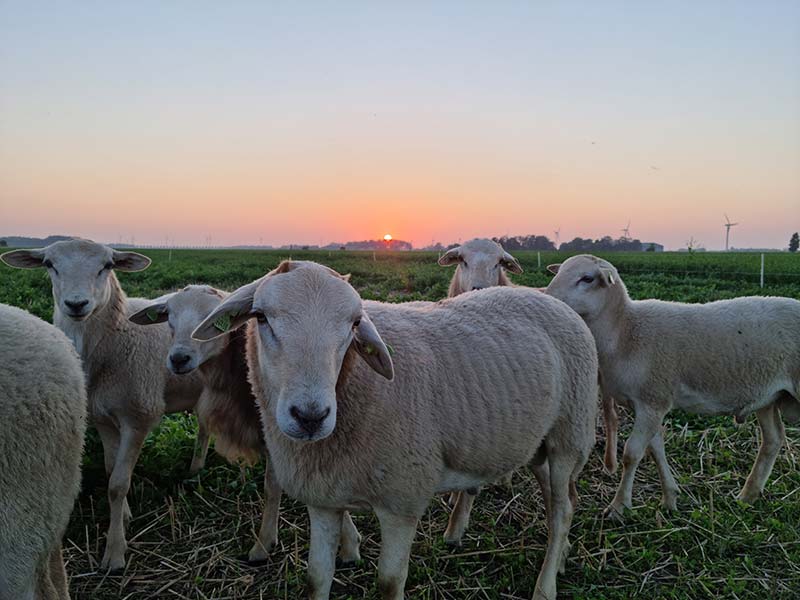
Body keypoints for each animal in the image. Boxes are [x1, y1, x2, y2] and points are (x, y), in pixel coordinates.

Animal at [1, 240, 206, 572]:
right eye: (49, 264)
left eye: (107, 266)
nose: (76, 304)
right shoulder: (102, 418)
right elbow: (111, 471)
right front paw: (124, 515)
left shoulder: (139, 416)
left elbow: (118, 484)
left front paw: (114, 552)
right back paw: (196, 467)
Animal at [191, 260, 596, 600]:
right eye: (260, 317)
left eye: (355, 324)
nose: (310, 416)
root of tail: (548, 297)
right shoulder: (323, 499)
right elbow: (315, 578)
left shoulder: (403, 499)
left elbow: (388, 582)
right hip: (540, 443)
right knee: (562, 502)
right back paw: (560, 558)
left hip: (570, 434)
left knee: (562, 511)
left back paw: (545, 587)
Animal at [548, 255, 800, 516]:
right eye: (558, 272)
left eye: (587, 278)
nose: (548, 296)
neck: (624, 331)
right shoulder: (648, 405)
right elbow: (656, 449)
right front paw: (670, 499)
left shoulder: (653, 400)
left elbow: (632, 453)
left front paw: (619, 506)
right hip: (768, 396)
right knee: (773, 440)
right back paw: (747, 496)